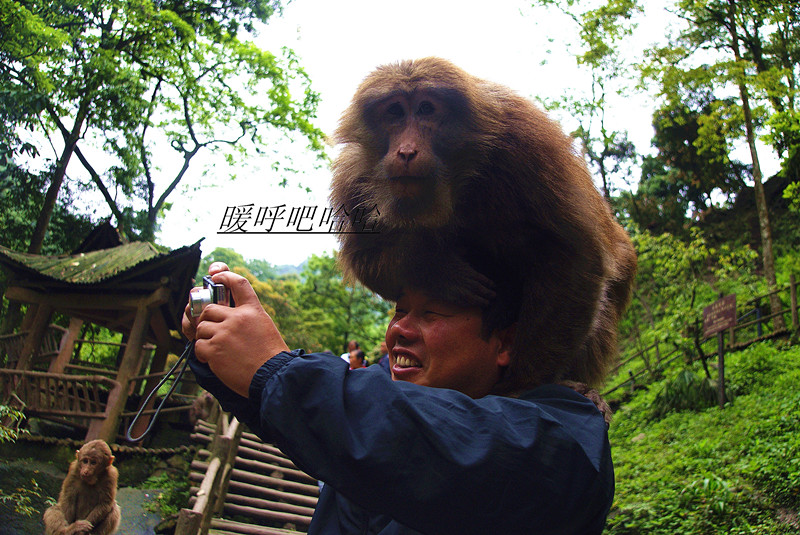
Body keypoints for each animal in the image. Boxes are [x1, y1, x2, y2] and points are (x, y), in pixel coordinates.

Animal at [330, 58, 636, 392]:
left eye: (426, 109)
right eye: (395, 112)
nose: (406, 151)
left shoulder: (529, 141)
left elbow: (575, 255)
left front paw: (519, 385)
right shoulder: (352, 177)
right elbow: (365, 260)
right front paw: (436, 271)